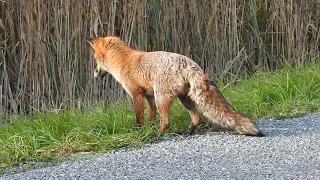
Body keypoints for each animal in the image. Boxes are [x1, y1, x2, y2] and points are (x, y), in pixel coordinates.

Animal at [86, 35, 264, 136]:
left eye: (94, 60)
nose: (94, 74)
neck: (124, 61)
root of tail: (189, 64)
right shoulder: (149, 96)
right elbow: (151, 117)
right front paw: (149, 128)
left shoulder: (136, 94)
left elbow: (139, 118)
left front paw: (142, 133)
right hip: (183, 99)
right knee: (196, 118)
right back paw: (187, 131)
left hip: (162, 98)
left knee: (166, 122)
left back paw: (157, 135)